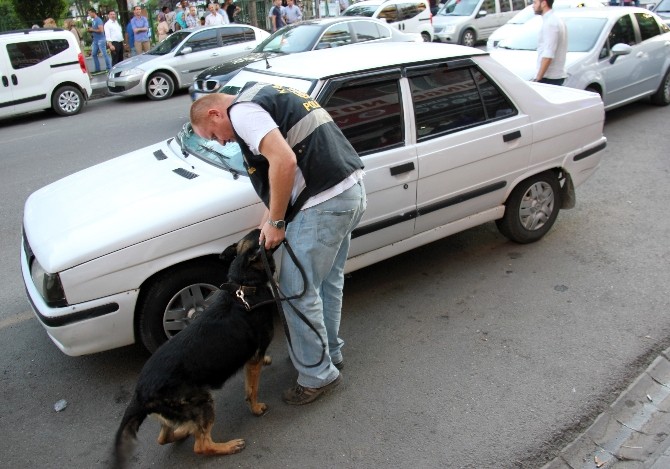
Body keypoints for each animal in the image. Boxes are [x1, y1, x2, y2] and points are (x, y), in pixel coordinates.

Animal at [112, 229, 276, 468]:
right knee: (201, 445)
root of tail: (140, 394)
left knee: (164, 436)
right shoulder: (253, 358)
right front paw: (255, 408)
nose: (281, 223)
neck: (244, 286)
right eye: (261, 236)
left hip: (179, 413)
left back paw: (184, 431)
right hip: (203, 402)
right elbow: (251, 390)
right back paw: (227, 446)